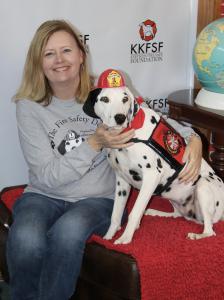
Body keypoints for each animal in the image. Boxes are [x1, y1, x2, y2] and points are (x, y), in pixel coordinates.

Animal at [83, 69, 224, 245]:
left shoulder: (151, 177)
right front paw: (109, 236)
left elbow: (134, 212)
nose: (120, 118)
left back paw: (198, 235)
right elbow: (115, 214)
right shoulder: (122, 181)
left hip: (203, 186)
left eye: (125, 99)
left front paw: (125, 238)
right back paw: (156, 212)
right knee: (177, 214)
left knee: (210, 230)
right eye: (104, 99)